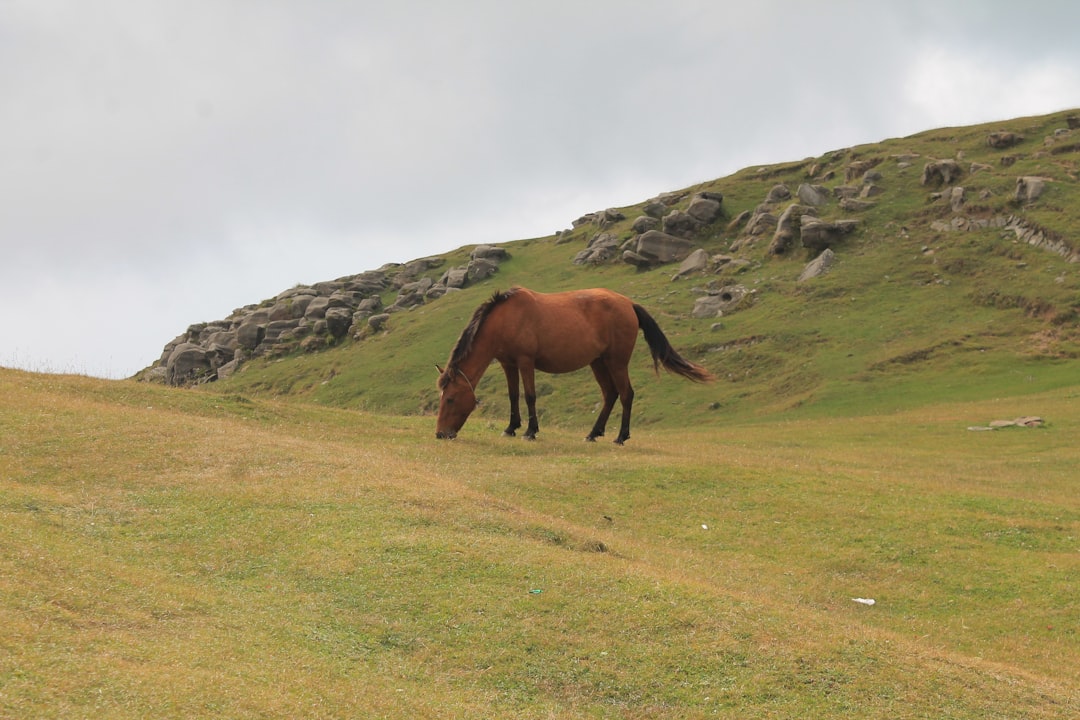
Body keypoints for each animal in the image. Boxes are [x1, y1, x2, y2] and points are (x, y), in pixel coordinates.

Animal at [434, 287, 712, 444]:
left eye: (450, 399)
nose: (440, 434)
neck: (506, 319)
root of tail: (628, 304)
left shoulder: (526, 362)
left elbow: (530, 396)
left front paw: (530, 432)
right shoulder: (508, 364)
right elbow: (513, 396)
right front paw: (511, 428)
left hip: (616, 362)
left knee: (626, 394)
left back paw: (620, 437)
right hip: (598, 363)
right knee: (610, 394)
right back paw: (593, 433)